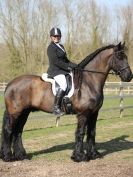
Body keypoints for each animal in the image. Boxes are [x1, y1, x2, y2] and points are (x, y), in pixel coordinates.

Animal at [0, 41, 132, 162]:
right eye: (119, 57)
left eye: (125, 57)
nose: (129, 76)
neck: (89, 82)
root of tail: (10, 84)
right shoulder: (83, 114)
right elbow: (80, 133)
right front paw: (79, 156)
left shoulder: (94, 113)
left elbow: (92, 133)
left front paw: (94, 154)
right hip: (15, 113)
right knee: (8, 130)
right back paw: (8, 157)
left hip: (24, 112)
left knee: (18, 131)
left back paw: (21, 155)